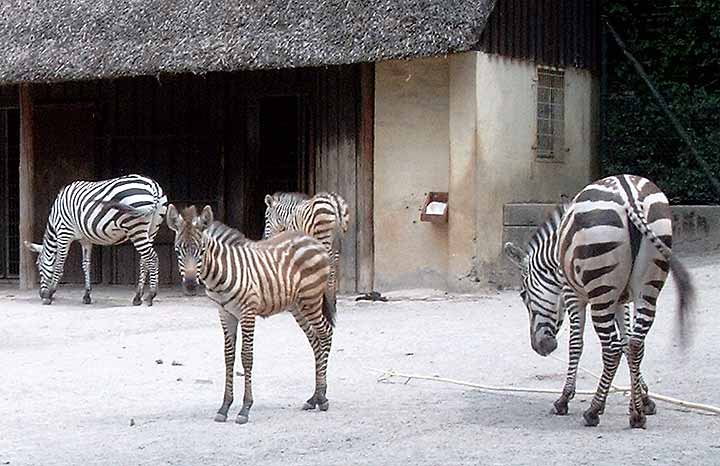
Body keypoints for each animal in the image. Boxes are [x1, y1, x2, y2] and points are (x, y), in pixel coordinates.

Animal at [24, 174, 168, 306]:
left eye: (38, 266)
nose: (41, 294)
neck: (55, 219)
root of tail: (153, 185)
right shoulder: (85, 240)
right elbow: (86, 264)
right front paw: (86, 295)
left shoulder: (64, 233)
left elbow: (59, 265)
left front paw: (49, 294)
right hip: (152, 229)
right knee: (144, 261)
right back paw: (138, 297)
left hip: (135, 227)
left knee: (152, 258)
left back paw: (151, 295)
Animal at [167, 202, 338, 424]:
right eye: (178, 250)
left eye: (202, 250)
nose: (189, 286)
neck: (221, 274)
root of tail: (313, 240)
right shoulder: (225, 313)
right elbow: (229, 357)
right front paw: (224, 407)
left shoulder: (247, 311)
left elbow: (246, 356)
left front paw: (245, 408)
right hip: (297, 305)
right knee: (315, 340)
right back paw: (314, 397)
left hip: (311, 299)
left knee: (325, 333)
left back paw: (323, 397)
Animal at [504, 175, 696, 430]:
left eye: (523, 295)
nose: (541, 347)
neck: (556, 252)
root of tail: (629, 195)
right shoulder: (622, 299)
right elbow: (627, 342)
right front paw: (642, 400)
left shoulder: (573, 294)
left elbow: (577, 344)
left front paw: (564, 399)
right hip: (647, 287)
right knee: (636, 344)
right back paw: (636, 417)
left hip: (600, 289)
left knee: (611, 348)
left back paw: (593, 410)